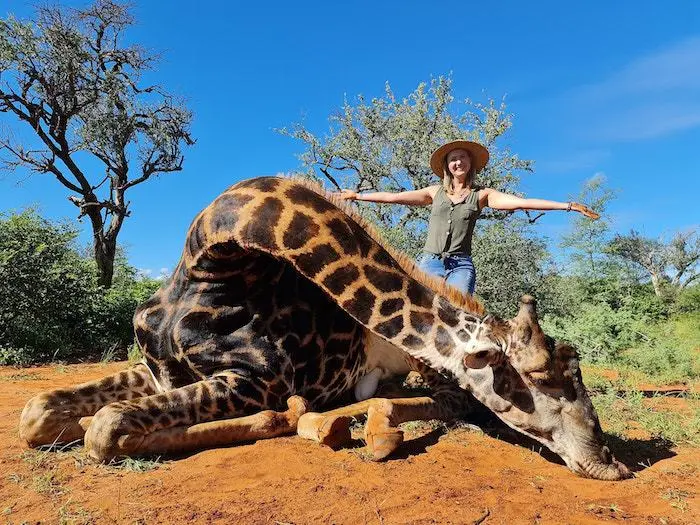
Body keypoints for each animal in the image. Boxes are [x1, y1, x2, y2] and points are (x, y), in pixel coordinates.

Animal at [19, 176, 631, 480]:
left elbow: (106, 428)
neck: (209, 263)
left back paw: (358, 425)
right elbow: (38, 413)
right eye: (544, 382)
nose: (611, 465)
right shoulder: (156, 369)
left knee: (448, 401)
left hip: (420, 372)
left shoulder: (255, 382)